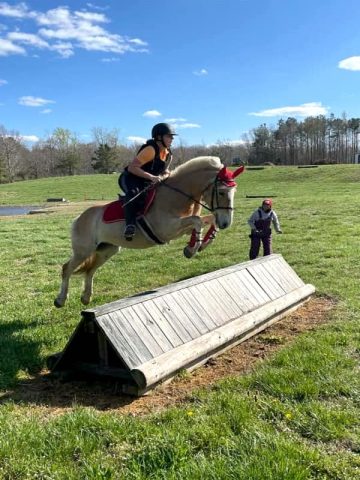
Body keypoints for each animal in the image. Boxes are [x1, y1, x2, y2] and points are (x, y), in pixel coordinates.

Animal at [53, 156, 245, 310]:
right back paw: (60, 300)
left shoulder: (180, 227)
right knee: (67, 268)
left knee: (90, 270)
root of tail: (79, 218)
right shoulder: (167, 230)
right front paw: (191, 249)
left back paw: (86, 298)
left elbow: (206, 221)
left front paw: (203, 243)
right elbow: (197, 221)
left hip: (107, 249)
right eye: (221, 192)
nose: (226, 223)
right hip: (83, 250)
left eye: (234, 191)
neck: (175, 196)